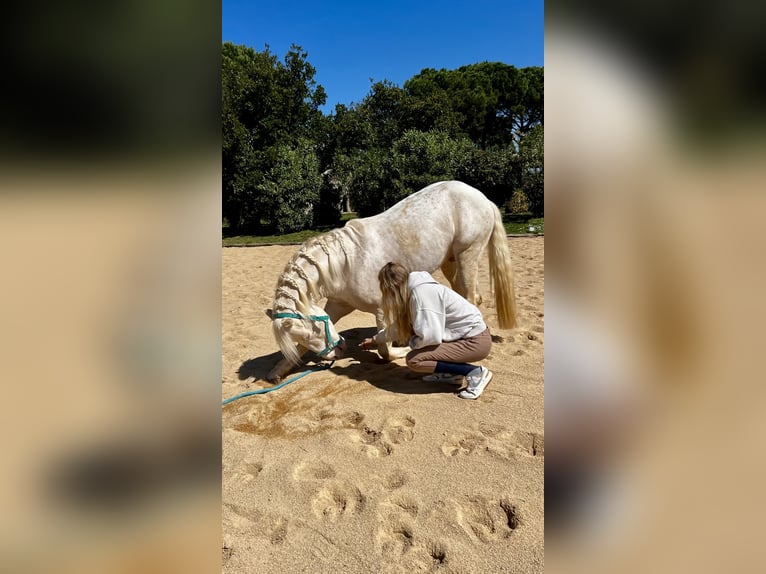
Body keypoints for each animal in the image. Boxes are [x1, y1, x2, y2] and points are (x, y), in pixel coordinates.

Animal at [266, 180, 518, 382]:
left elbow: (384, 349)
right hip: (450, 261)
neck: (344, 263)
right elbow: (299, 348)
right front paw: (278, 371)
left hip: (468, 254)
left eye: (314, 331)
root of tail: (482, 197)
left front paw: (402, 350)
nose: (338, 351)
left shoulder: (380, 309)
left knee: (470, 296)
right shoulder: (338, 305)